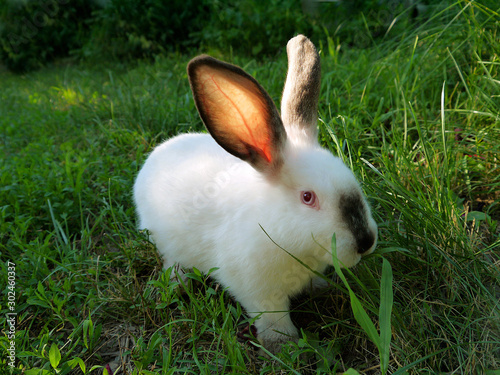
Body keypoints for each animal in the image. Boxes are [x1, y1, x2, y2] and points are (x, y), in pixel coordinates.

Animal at [135, 35, 376, 356]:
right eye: (307, 197)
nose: (365, 242)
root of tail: (158, 152)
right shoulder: (260, 293)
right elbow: (273, 319)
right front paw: (283, 346)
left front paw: (321, 288)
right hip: (167, 244)